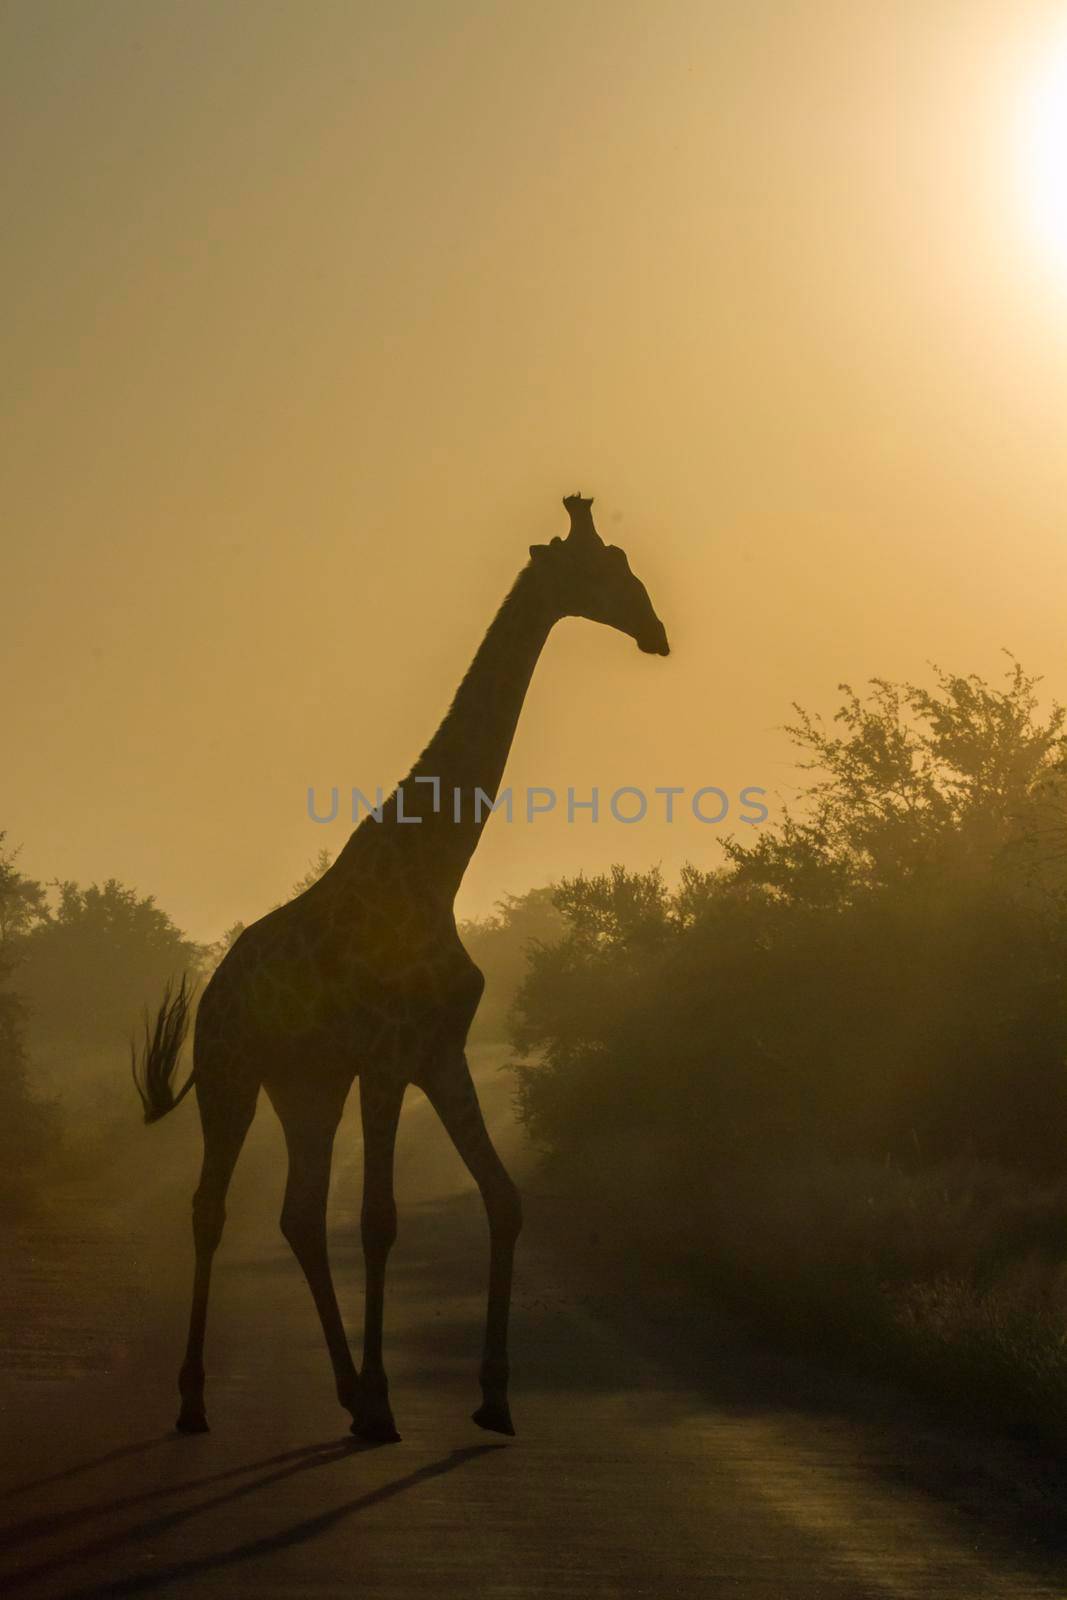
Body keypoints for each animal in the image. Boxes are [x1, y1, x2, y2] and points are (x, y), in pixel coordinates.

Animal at [133, 492, 668, 1446]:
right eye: (604, 567)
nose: (657, 632)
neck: (436, 866)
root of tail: (216, 992)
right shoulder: (385, 1059)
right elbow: (379, 1221)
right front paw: (392, 1399)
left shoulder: (437, 1054)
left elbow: (504, 1199)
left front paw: (493, 1398)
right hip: (232, 1074)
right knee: (211, 1210)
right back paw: (197, 1401)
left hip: (303, 1086)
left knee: (298, 1214)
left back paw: (347, 1393)